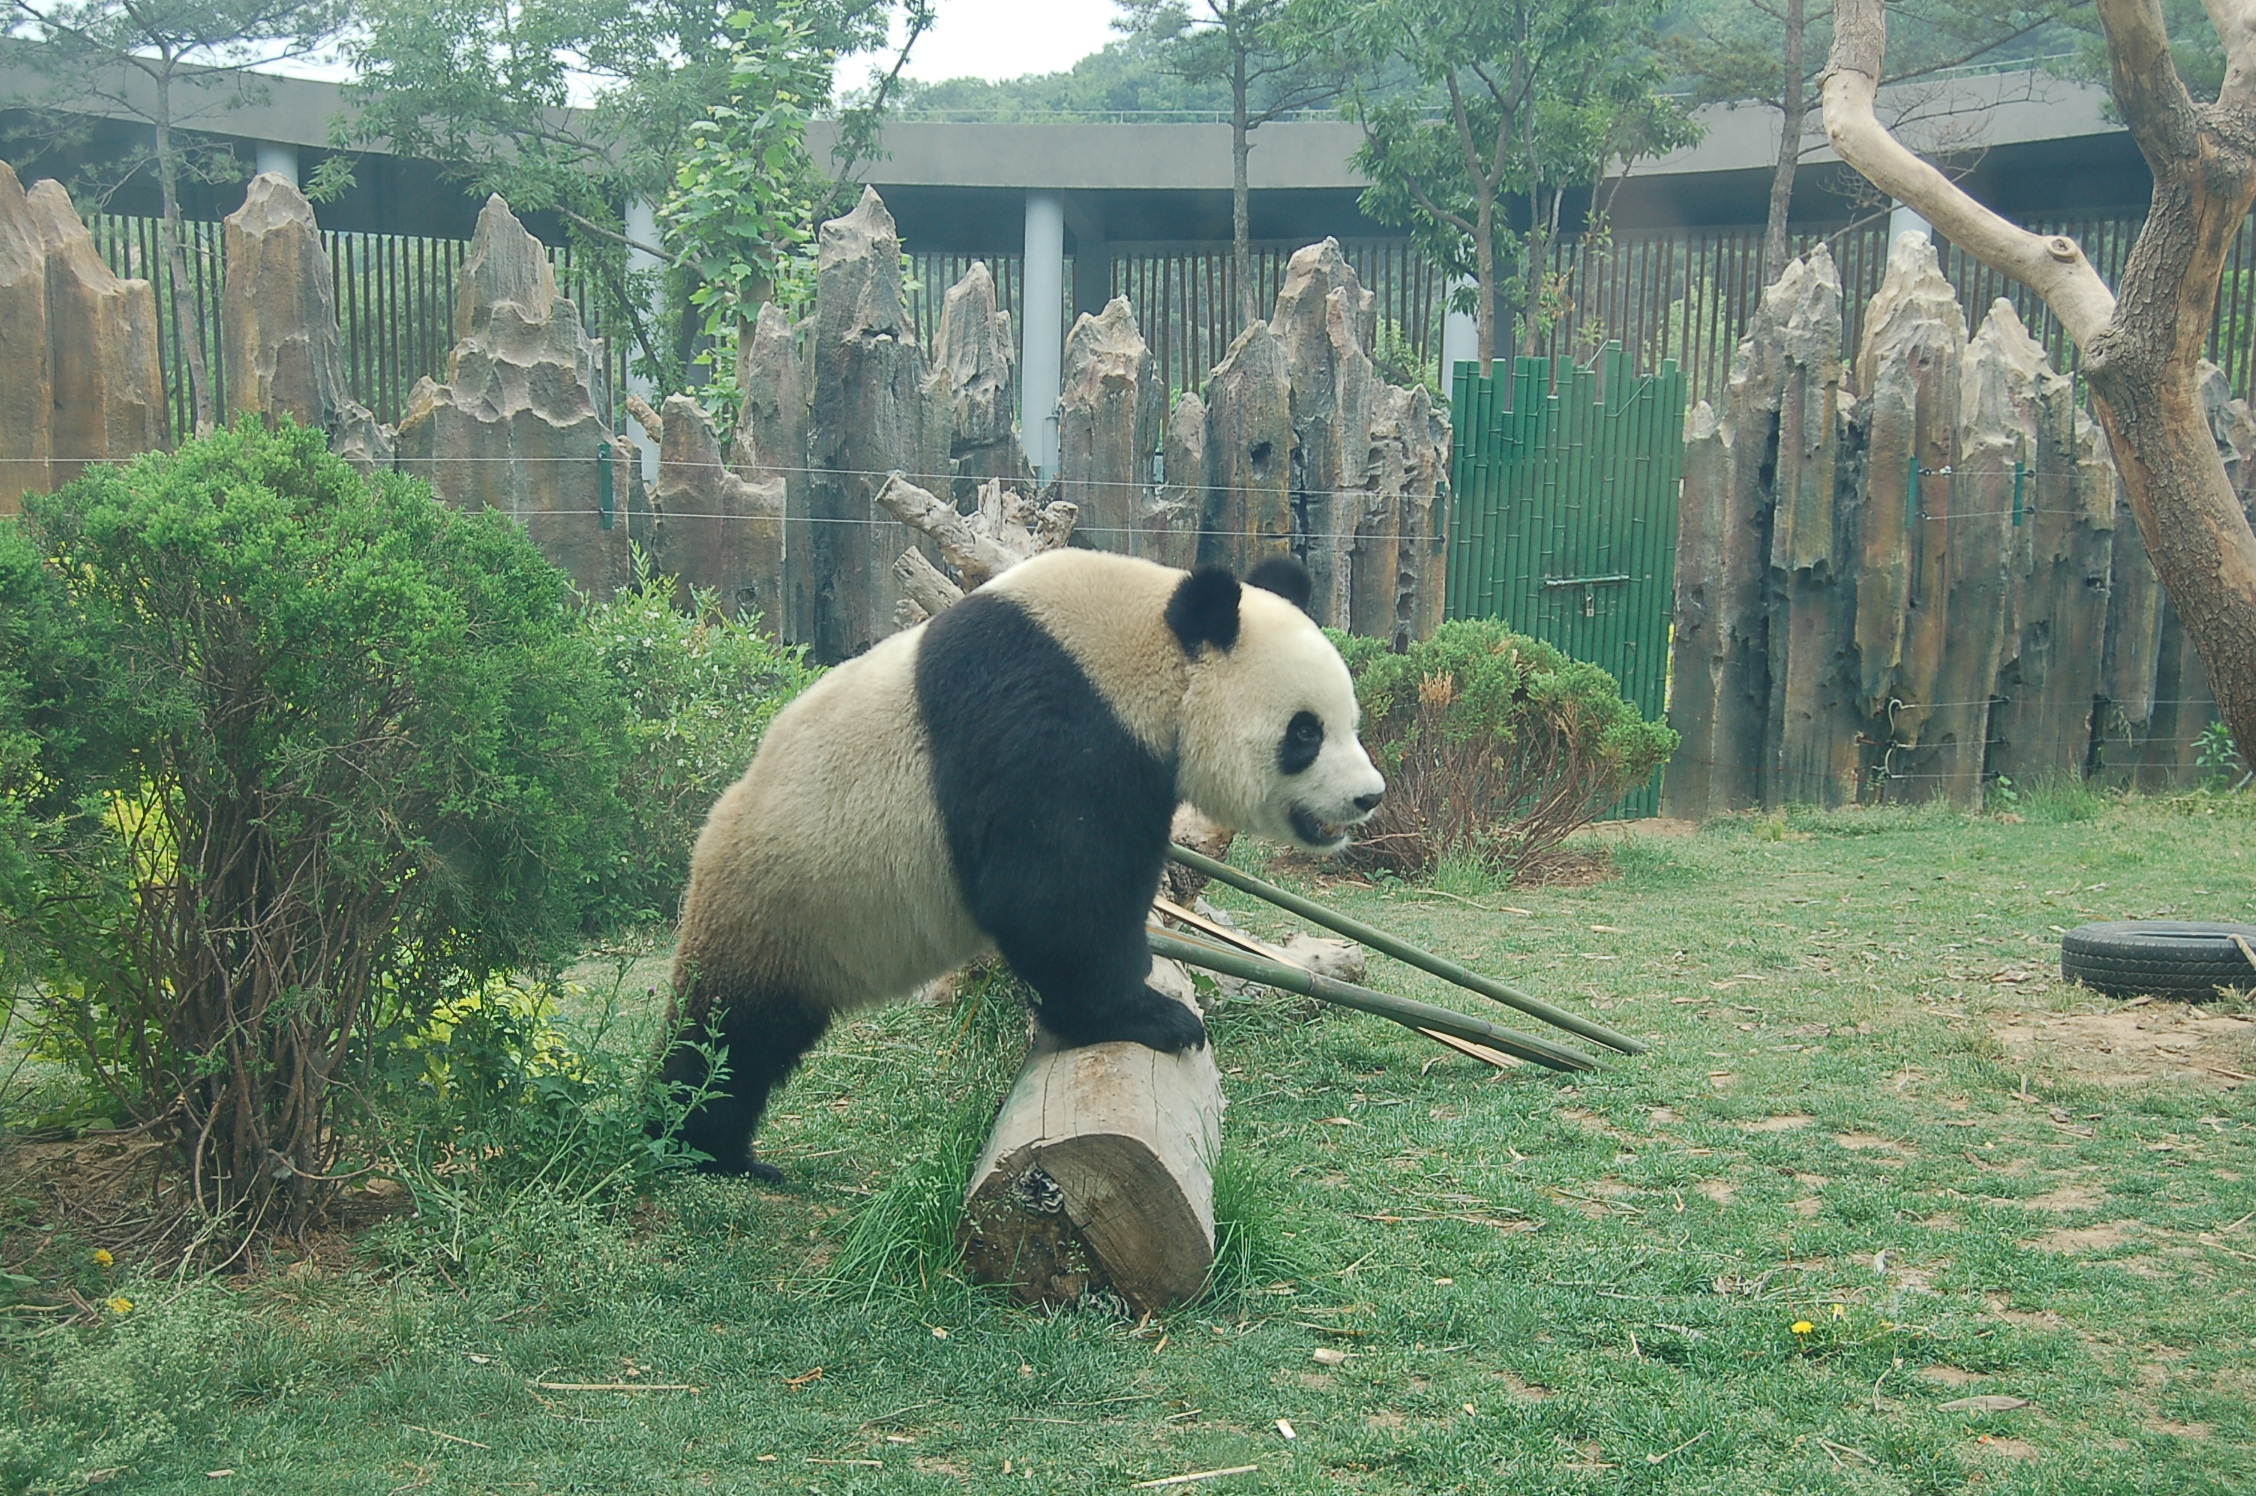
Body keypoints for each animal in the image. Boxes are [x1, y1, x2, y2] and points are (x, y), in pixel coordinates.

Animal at [658, 550, 1380, 1182]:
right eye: (1305, 732)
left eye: (1350, 721)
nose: (1367, 796)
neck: (1140, 646)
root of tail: (707, 844)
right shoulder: (1047, 720)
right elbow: (1052, 896)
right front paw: (1147, 1016)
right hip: (783, 898)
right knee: (729, 1038)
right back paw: (697, 1147)